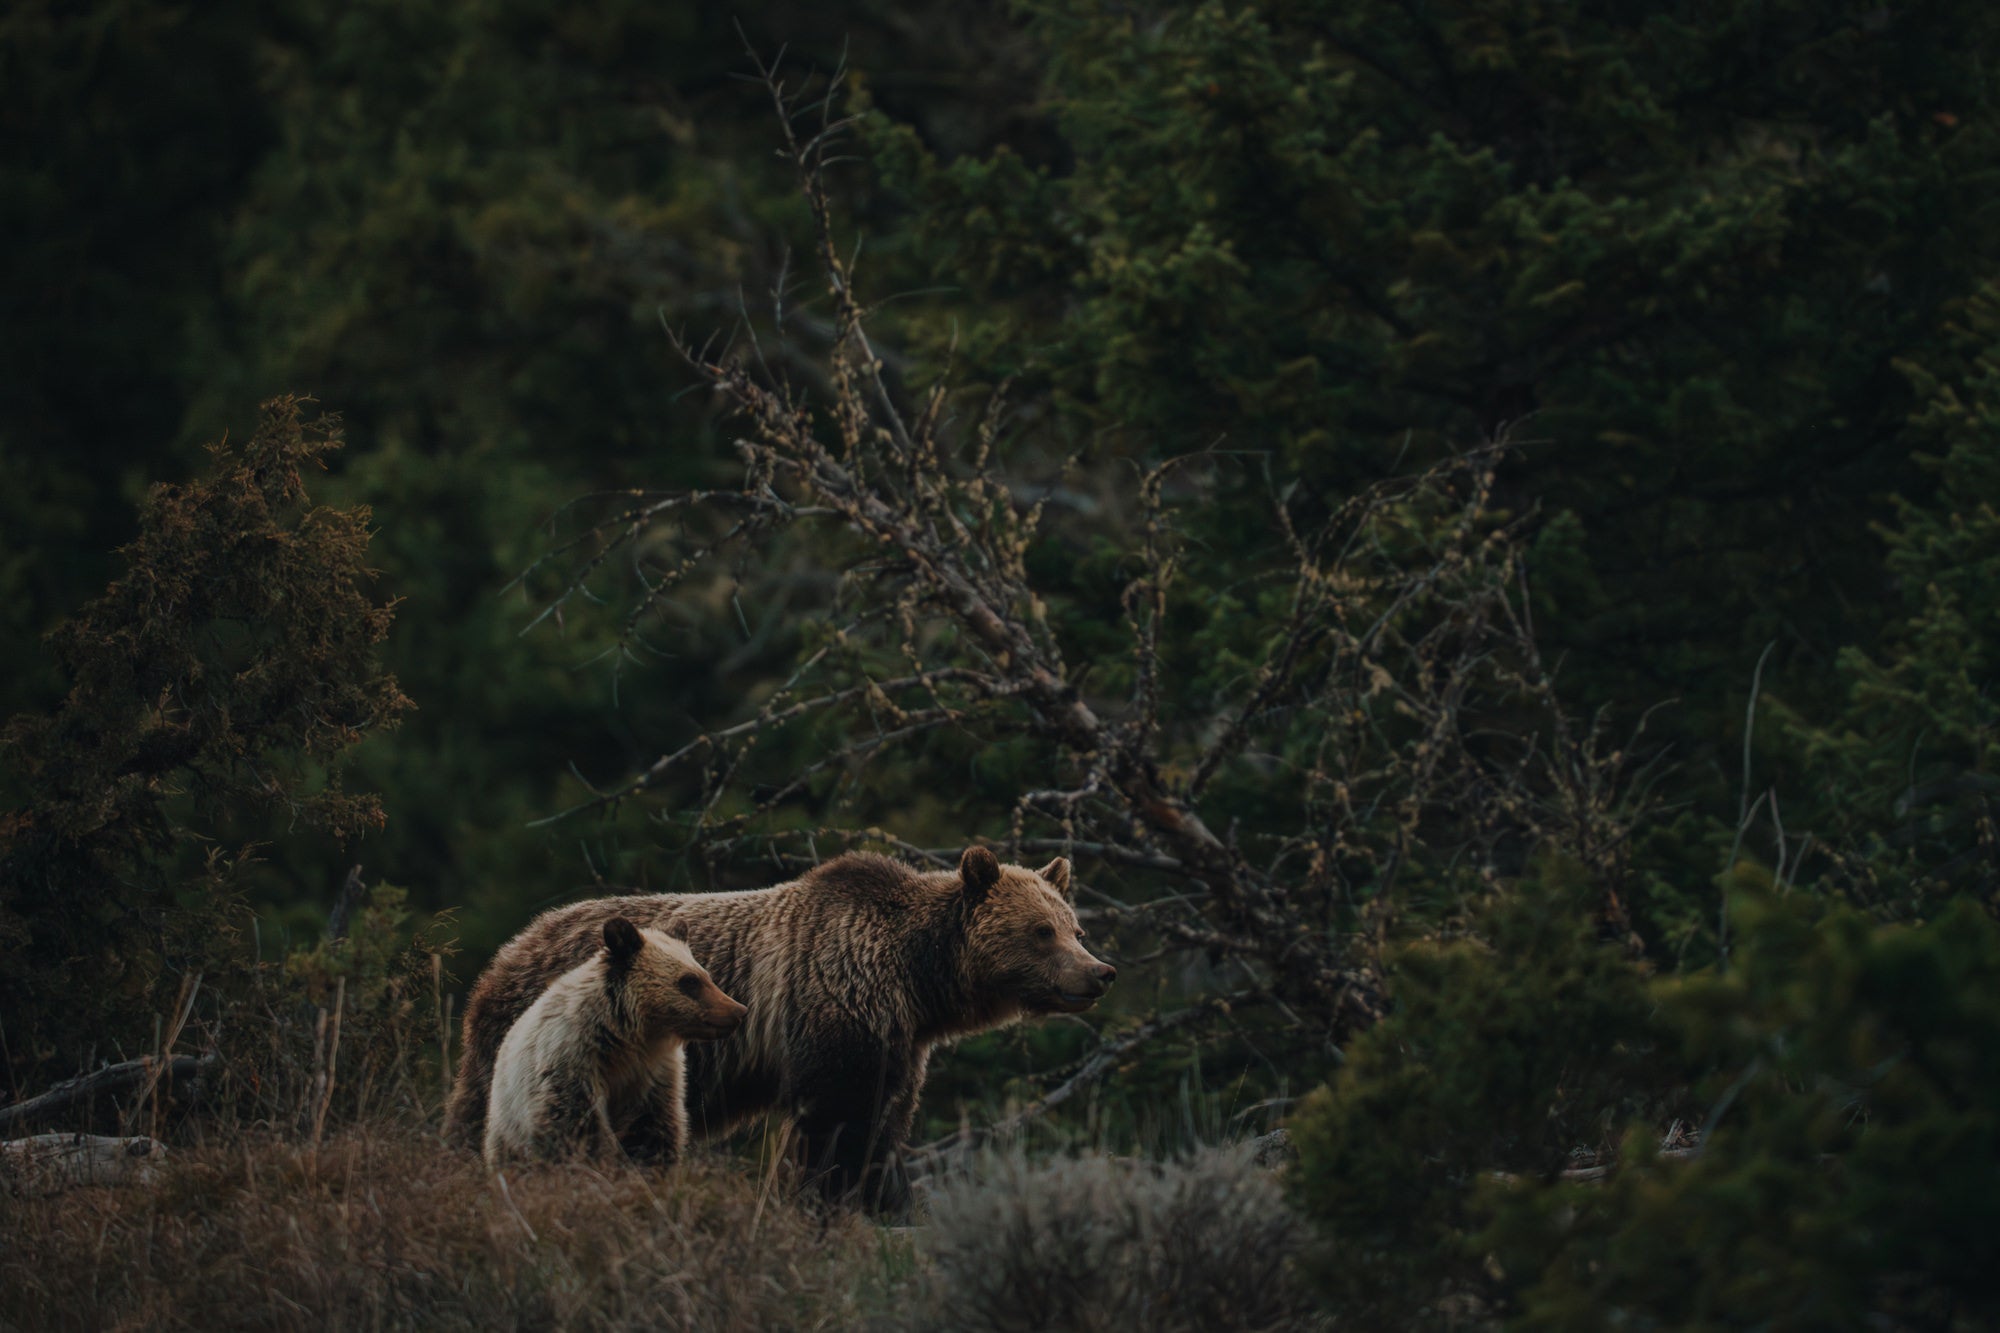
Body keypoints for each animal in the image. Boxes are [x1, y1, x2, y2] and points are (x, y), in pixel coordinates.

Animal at [482, 915, 748, 1169]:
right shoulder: (571, 1066)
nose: (738, 1011)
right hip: (509, 1122)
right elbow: (579, 1129)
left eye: (706, 976)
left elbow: (651, 1131)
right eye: (690, 981)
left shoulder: (652, 1077)